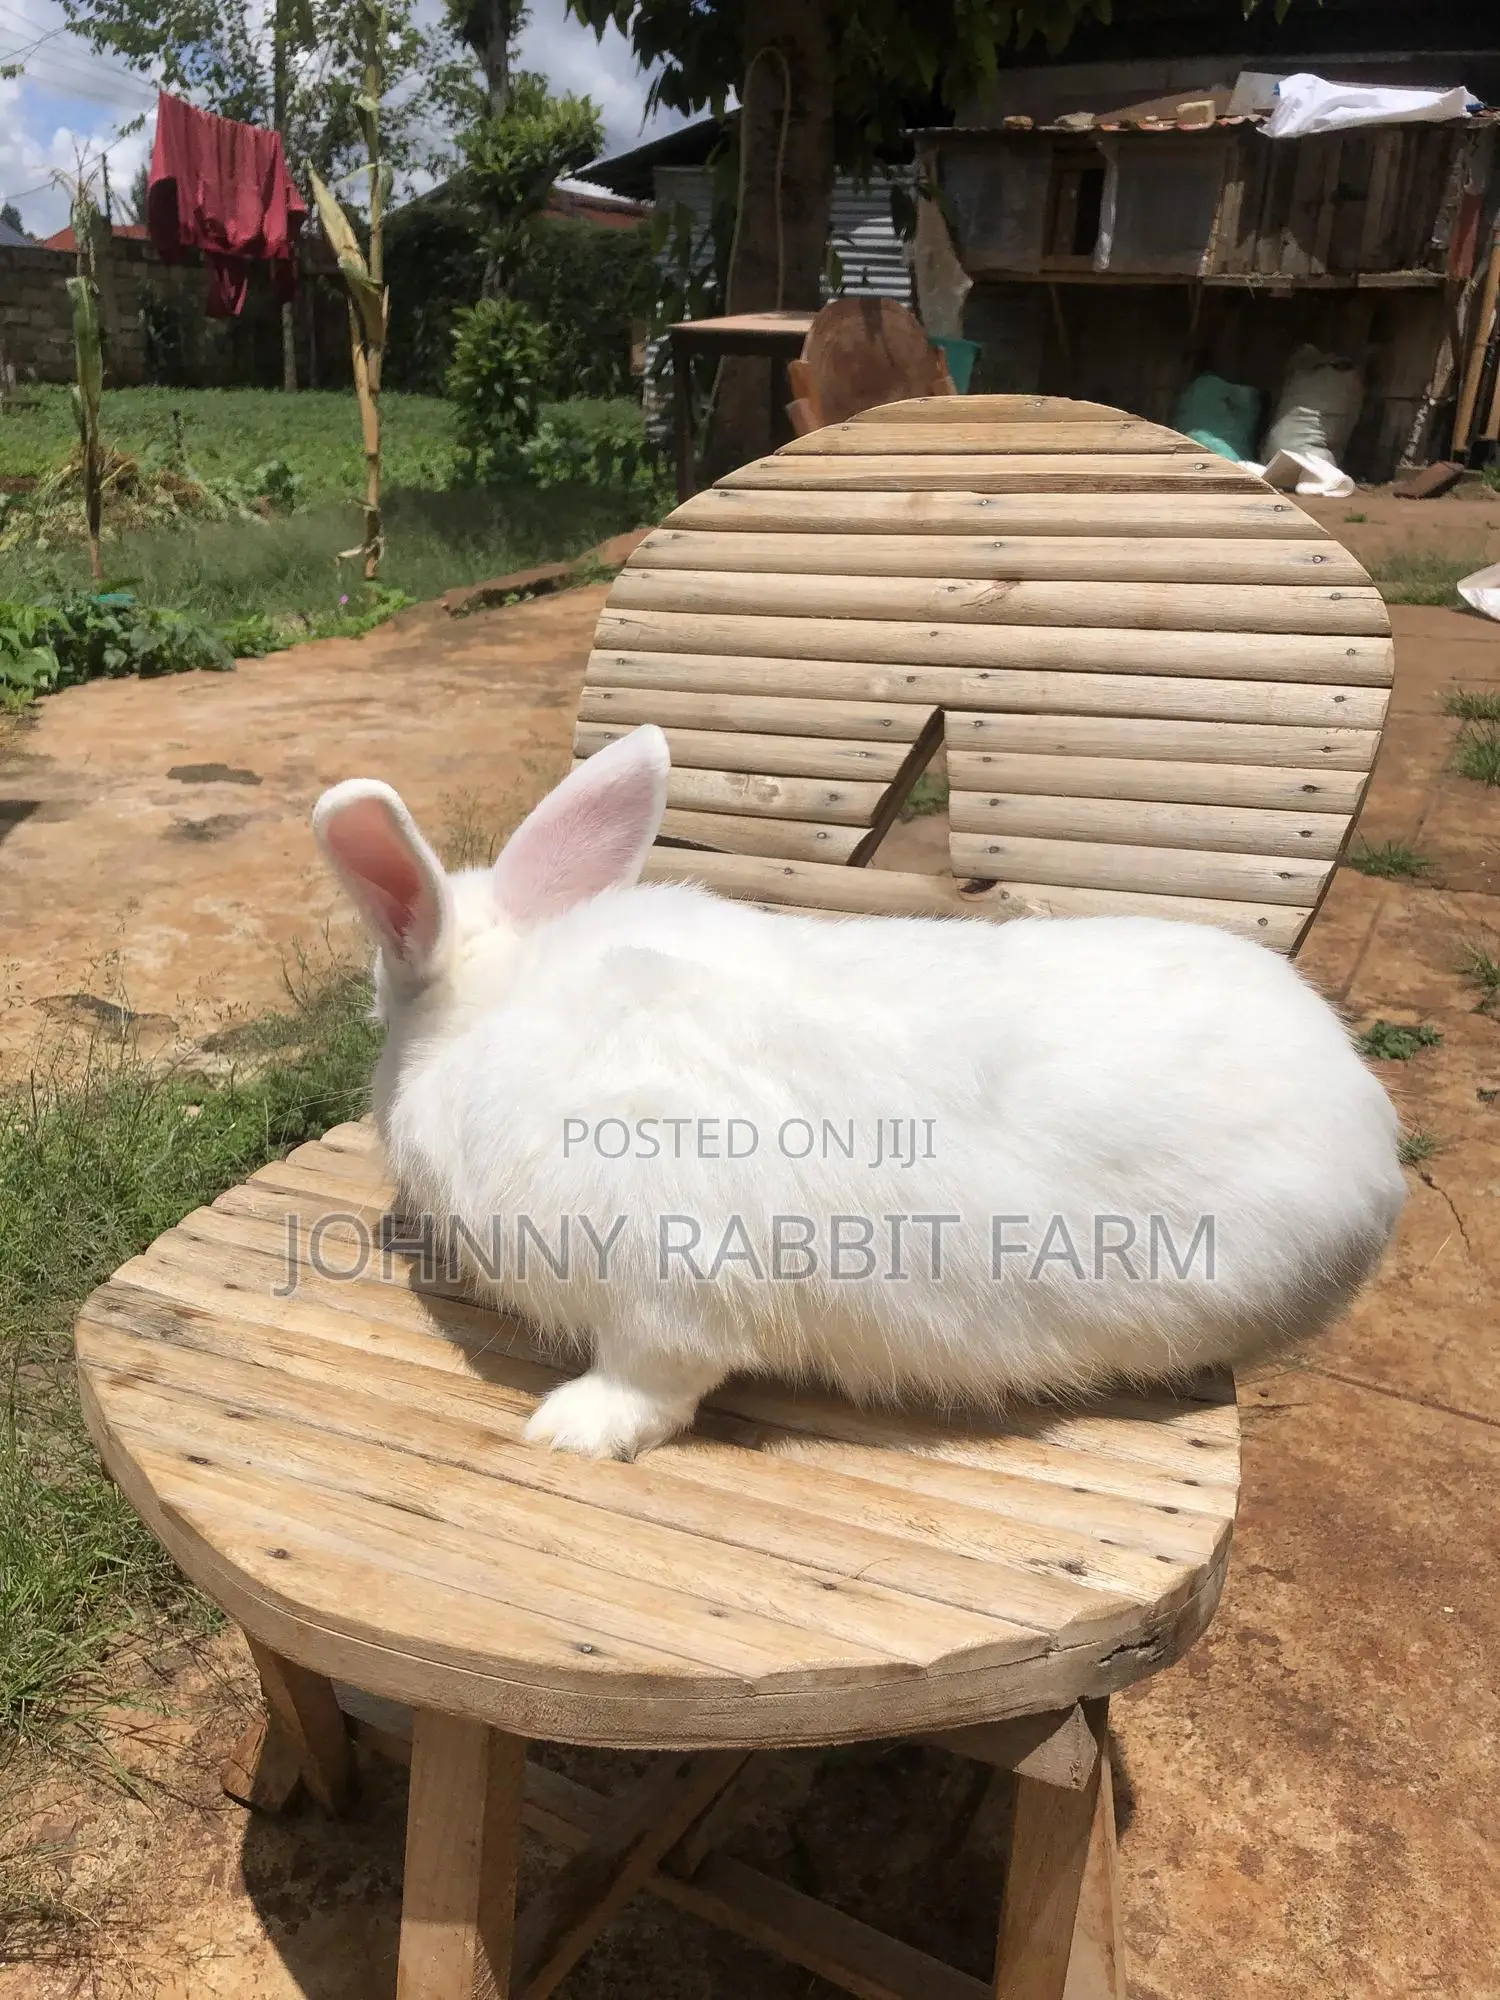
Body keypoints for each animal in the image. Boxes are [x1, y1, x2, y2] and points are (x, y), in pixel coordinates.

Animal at [313, 722, 1406, 1461]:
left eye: (379, 1014)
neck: (498, 1020)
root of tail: (1376, 1139)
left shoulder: (663, 1292)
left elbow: (651, 1384)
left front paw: (570, 1429)